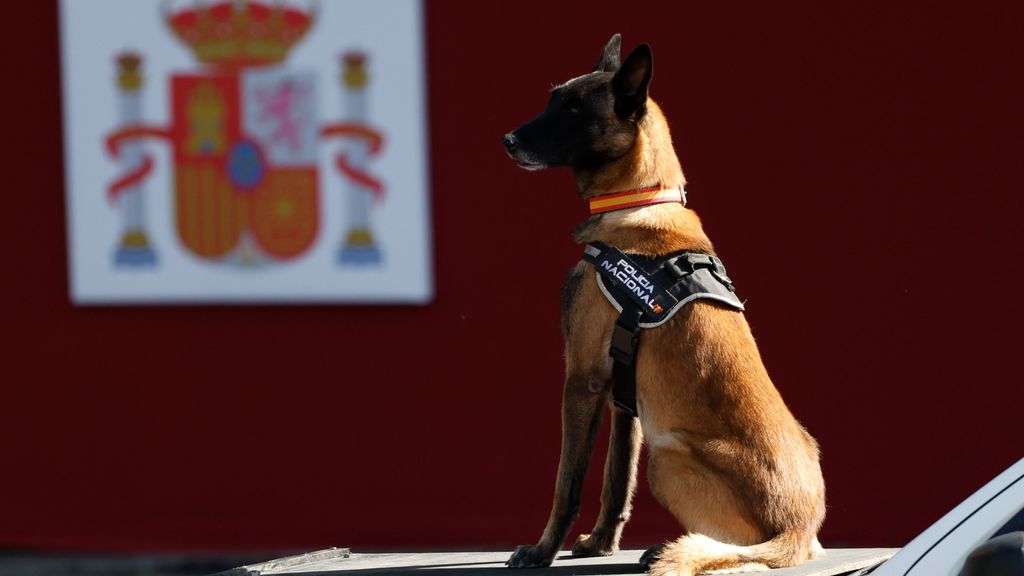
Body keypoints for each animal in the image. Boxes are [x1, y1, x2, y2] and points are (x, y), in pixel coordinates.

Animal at [499, 35, 827, 573]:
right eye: (553, 100)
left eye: (572, 109)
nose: (507, 139)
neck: (638, 200)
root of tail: (799, 528)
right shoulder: (622, 395)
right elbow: (615, 480)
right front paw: (600, 543)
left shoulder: (582, 380)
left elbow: (567, 484)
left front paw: (542, 550)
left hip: (668, 456)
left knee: (738, 550)